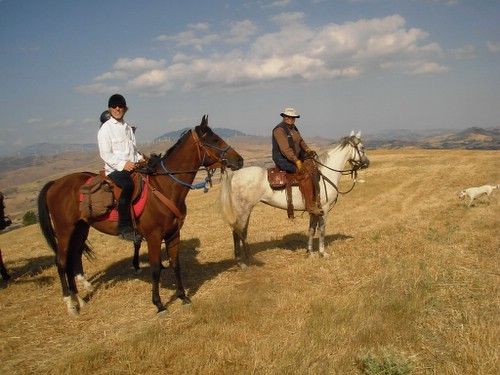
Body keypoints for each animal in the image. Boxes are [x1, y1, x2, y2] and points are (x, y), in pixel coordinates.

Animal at [37, 116, 244, 316]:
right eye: (214, 140)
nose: (240, 160)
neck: (164, 187)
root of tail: (55, 183)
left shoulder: (173, 234)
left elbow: (176, 264)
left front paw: (183, 297)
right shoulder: (153, 237)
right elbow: (155, 270)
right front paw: (159, 304)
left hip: (80, 229)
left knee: (72, 258)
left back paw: (79, 299)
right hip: (65, 231)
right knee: (61, 262)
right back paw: (70, 305)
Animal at [221, 132, 370, 268]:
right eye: (362, 147)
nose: (367, 163)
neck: (325, 174)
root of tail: (234, 175)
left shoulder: (314, 210)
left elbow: (311, 229)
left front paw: (310, 252)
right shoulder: (325, 208)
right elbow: (322, 230)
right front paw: (322, 253)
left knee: (241, 231)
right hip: (243, 210)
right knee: (237, 232)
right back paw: (241, 263)